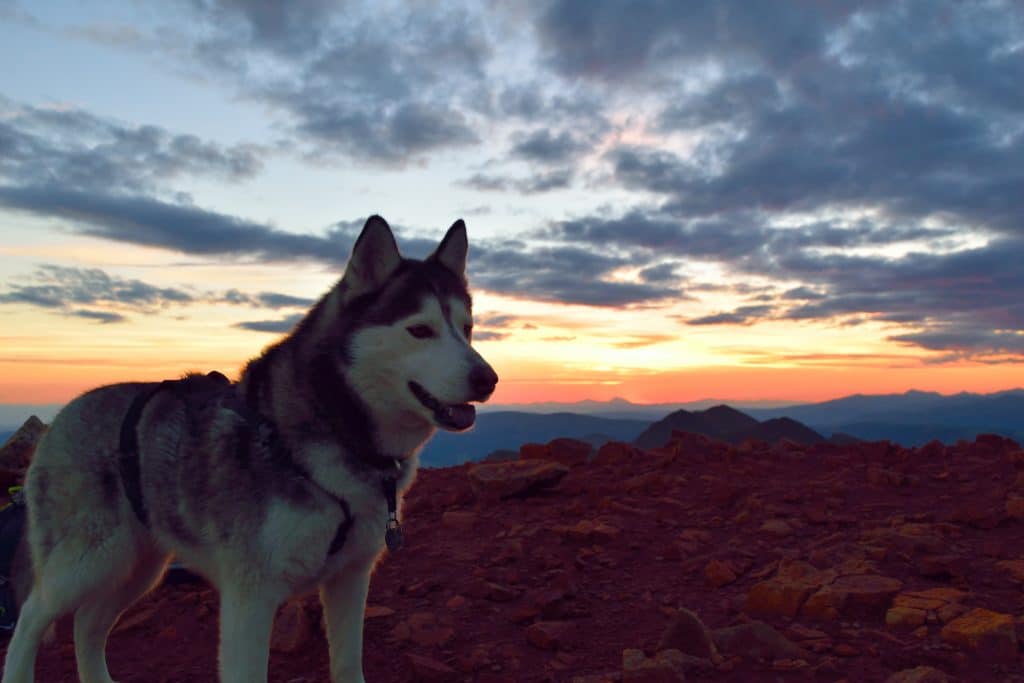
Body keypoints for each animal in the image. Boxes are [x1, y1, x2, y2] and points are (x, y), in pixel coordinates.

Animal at [0, 218, 495, 683]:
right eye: (420, 330)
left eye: (468, 330)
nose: (487, 379)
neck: (336, 435)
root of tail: (65, 412)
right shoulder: (251, 595)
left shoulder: (350, 578)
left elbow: (348, 664)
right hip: (89, 557)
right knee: (33, 614)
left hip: (139, 564)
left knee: (86, 623)